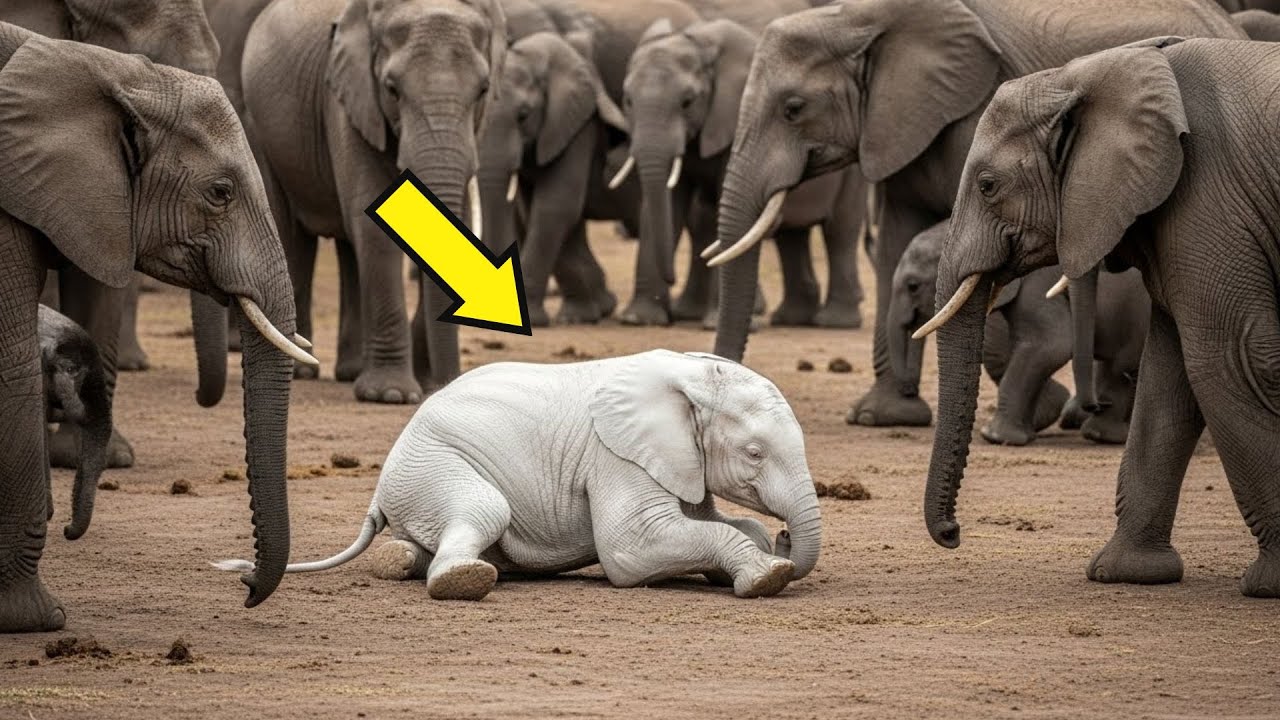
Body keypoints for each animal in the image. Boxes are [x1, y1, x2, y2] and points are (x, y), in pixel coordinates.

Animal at [217, 349, 820, 601]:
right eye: (755, 453)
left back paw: (406, 560)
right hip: (435, 464)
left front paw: (762, 547)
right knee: (485, 509)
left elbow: (724, 523)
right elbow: (631, 549)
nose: (790, 536)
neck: (690, 374)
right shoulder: (614, 455)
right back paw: (462, 581)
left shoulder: (678, 459)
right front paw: (768, 575)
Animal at [243, 0, 507, 402]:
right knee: (292, 236)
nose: (445, 384)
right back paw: (304, 370)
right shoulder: (346, 100)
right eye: (392, 90)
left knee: (349, 248)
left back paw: (350, 373)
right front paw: (391, 395)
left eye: (483, 89)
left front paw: (415, 384)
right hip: (261, 131)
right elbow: (374, 226)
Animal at [619, 17, 866, 329]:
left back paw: (834, 322)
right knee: (791, 236)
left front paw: (712, 324)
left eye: (687, 102)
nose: (671, 278)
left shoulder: (737, 118)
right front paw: (638, 319)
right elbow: (668, 204)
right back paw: (791, 318)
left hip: (853, 174)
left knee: (840, 231)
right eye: (628, 101)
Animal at [700, 0, 1245, 429]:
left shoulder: (975, 116)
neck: (863, 15)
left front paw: (1035, 412)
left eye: (793, 108)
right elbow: (897, 240)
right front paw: (883, 416)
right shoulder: (897, 126)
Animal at [918, 37, 1280, 597]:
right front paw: (1126, 573)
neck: (1091, 72)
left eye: (987, 185)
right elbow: (1168, 379)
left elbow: (1230, 362)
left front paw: (1267, 585)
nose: (953, 534)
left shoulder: (1209, 201)